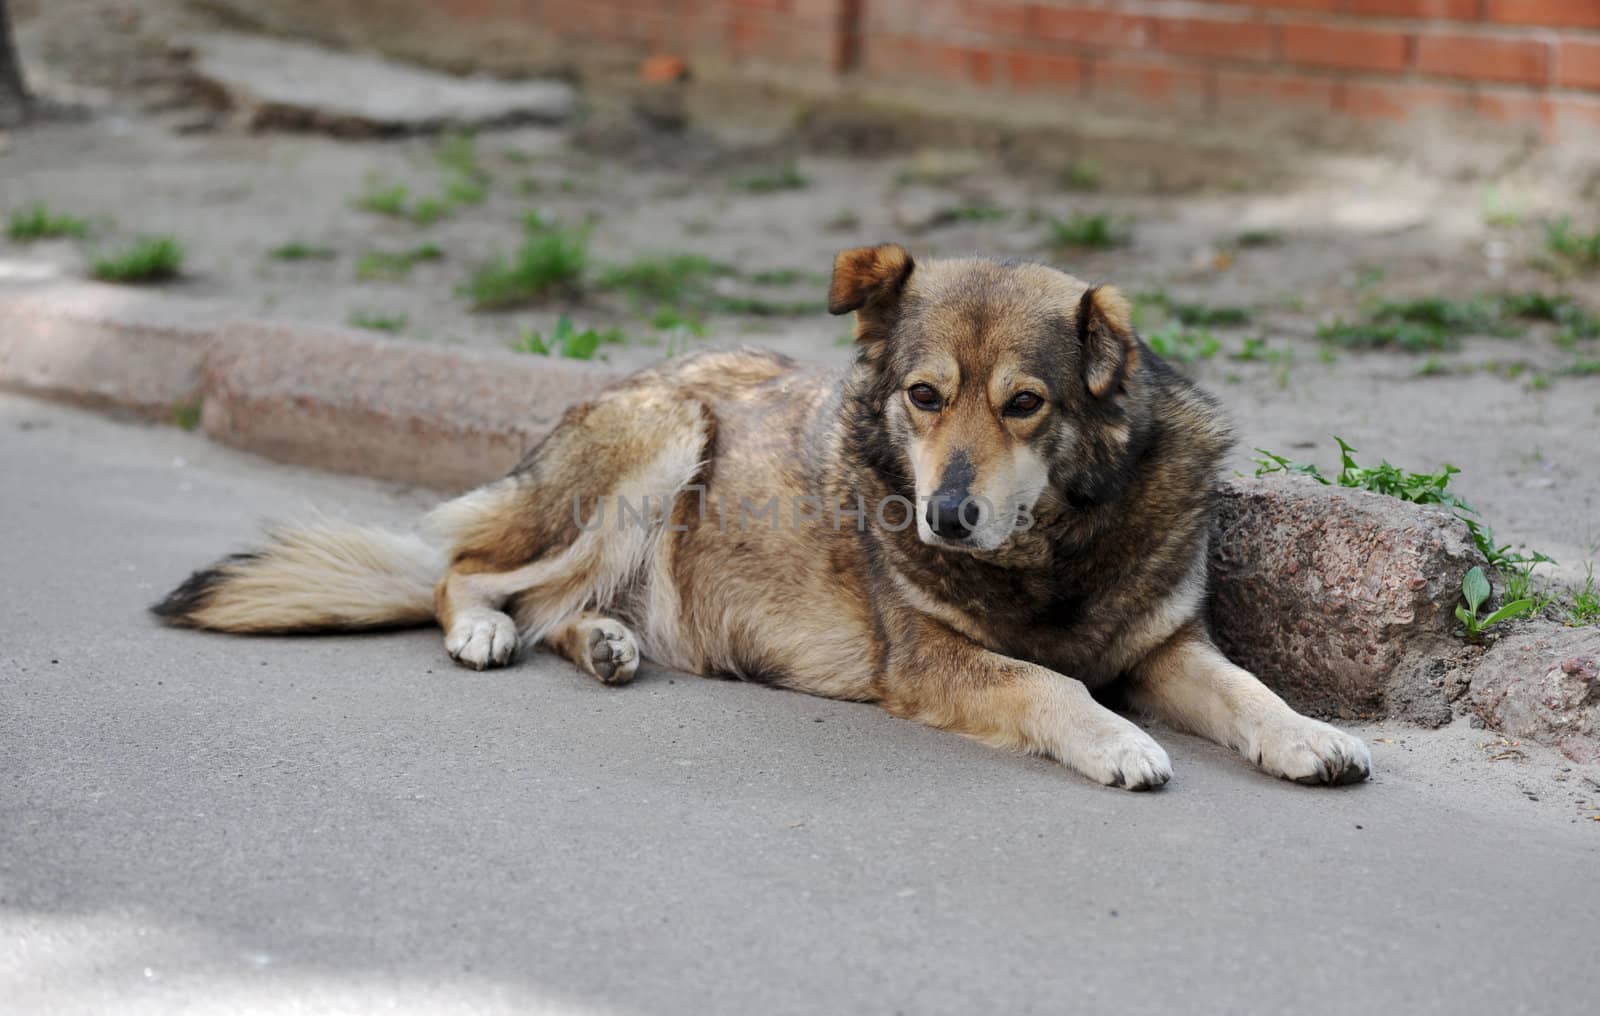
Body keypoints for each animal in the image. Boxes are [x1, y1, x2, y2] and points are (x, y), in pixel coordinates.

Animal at [156, 244, 1369, 787]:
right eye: (924, 396)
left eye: (1025, 403)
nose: (948, 514)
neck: (1049, 552)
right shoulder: (931, 663)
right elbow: (1049, 685)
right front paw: (1118, 739)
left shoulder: (1168, 646)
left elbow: (1246, 688)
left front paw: (1309, 735)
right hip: (665, 442)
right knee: (469, 574)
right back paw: (486, 632)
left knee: (554, 602)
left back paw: (605, 642)